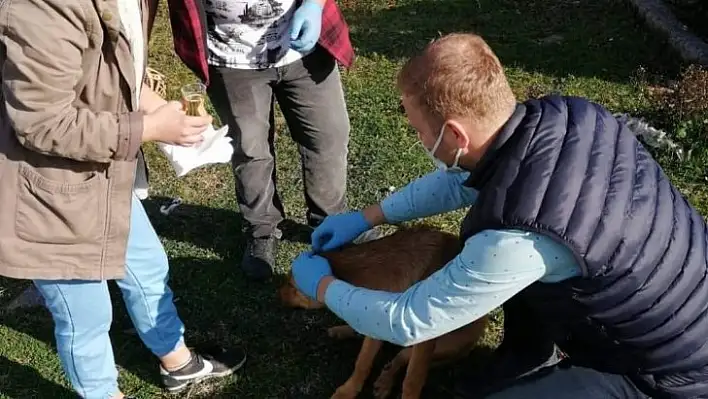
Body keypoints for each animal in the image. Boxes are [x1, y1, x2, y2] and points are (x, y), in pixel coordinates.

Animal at [280, 227, 490, 399]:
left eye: (292, 286)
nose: (277, 295)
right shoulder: (376, 321)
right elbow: (362, 362)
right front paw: (348, 391)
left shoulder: (423, 341)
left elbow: (412, 380)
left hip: (445, 346)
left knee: (402, 357)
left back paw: (385, 381)